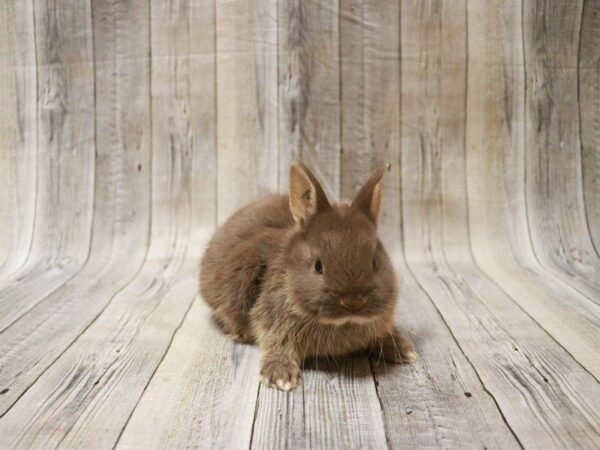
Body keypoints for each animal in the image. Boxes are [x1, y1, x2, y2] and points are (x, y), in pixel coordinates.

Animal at [202, 162, 418, 390]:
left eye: (375, 262)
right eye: (318, 266)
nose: (353, 303)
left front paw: (404, 350)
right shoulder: (271, 318)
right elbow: (275, 342)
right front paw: (279, 376)